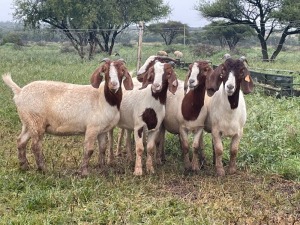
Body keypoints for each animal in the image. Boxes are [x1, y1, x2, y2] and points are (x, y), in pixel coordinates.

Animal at [2, 59, 133, 177]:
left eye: (122, 70)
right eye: (104, 70)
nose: (114, 84)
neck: (103, 98)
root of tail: (19, 92)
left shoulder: (102, 130)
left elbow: (102, 149)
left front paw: (103, 169)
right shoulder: (92, 128)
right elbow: (89, 150)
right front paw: (84, 173)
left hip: (28, 122)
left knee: (21, 141)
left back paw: (24, 166)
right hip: (36, 121)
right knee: (35, 145)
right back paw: (43, 169)